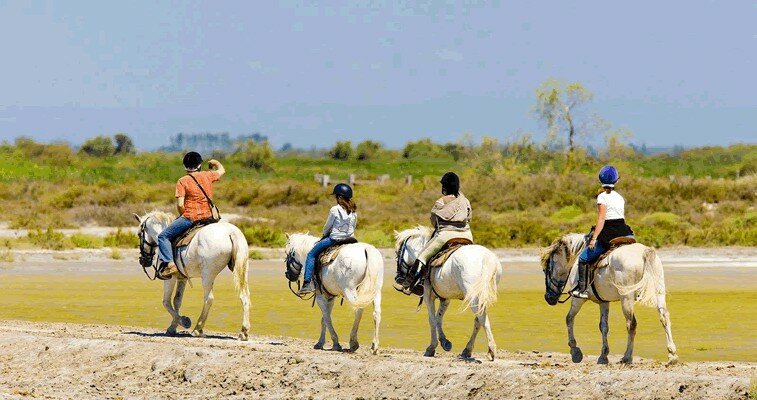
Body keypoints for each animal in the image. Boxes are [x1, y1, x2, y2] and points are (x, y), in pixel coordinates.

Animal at [134, 211, 251, 340]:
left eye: (139, 234)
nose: (143, 261)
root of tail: (232, 232)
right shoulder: (182, 278)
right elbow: (177, 301)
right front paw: (173, 326)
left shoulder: (170, 278)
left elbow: (166, 302)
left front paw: (184, 321)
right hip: (241, 270)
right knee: (244, 296)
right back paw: (244, 332)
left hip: (207, 275)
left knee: (208, 299)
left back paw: (197, 329)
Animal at [394, 226, 503, 361]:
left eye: (397, 254)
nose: (398, 278)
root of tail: (487, 259)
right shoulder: (445, 299)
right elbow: (438, 318)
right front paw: (445, 342)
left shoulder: (428, 297)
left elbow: (432, 319)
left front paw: (431, 347)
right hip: (481, 297)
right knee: (478, 319)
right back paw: (467, 350)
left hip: (473, 297)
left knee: (482, 318)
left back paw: (491, 350)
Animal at [541, 233, 678, 364]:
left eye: (545, 270)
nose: (548, 298)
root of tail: (644, 251)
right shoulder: (604, 302)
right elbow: (603, 326)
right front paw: (603, 355)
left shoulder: (578, 299)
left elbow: (569, 318)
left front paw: (575, 352)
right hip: (659, 293)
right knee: (664, 317)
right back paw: (672, 355)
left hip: (626, 298)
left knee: (631, 324)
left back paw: (627, 357)